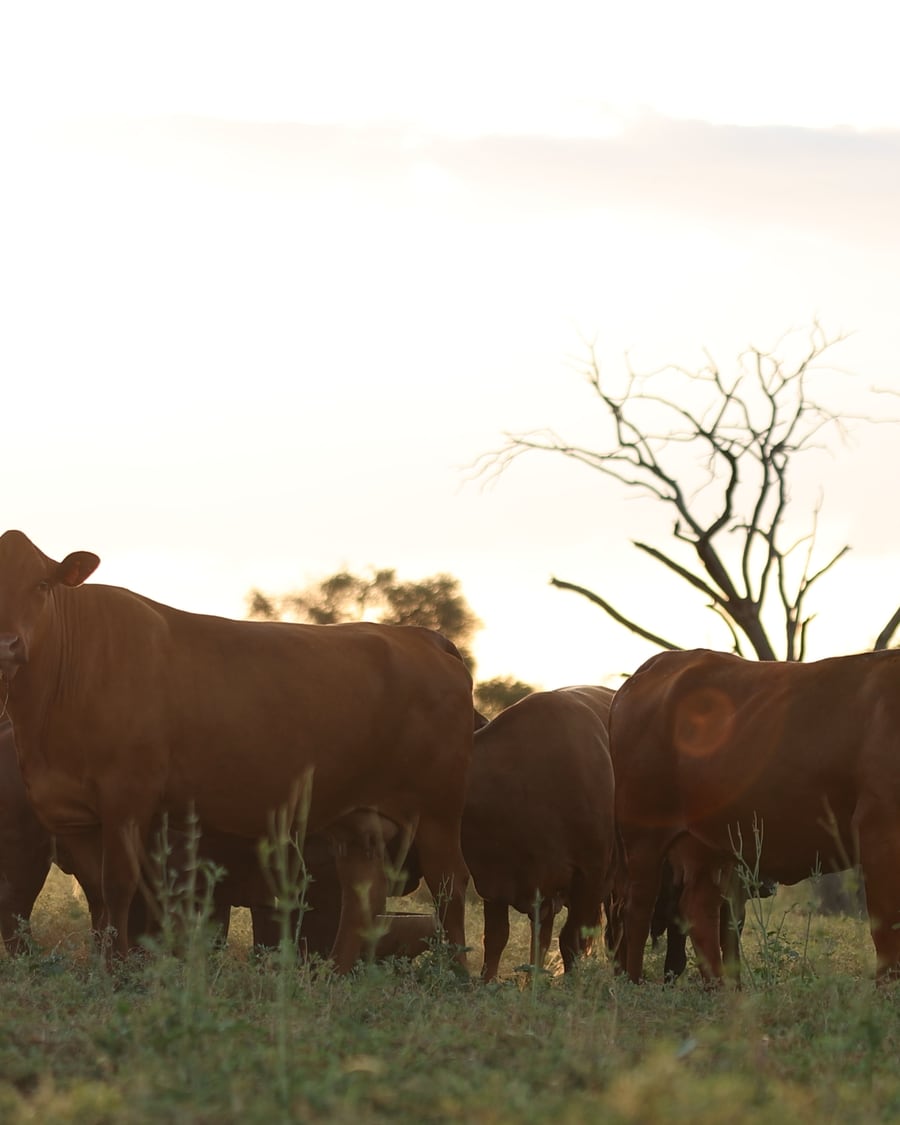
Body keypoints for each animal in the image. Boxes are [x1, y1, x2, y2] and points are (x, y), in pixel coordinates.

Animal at [0, 530, 472, 972]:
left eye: (41, 584)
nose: (8, 644)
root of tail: (423, 638)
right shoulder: (69, 812)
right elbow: (98, 897)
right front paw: (102, 968)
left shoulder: (127, 797)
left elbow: (118, 886)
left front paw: (118, 971)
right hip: (359, 817)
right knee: (364, 895)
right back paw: (334, 975)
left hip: (439, 810)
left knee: (449, 885)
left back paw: (457, 978)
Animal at [608, 647, 900, 984]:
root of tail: (658, 664)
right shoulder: (879, 829)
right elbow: (888, 927)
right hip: (643, 836)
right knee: (637, 907)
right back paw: (634, 981)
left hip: (706, 843)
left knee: (698, 908)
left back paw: (722, 986)